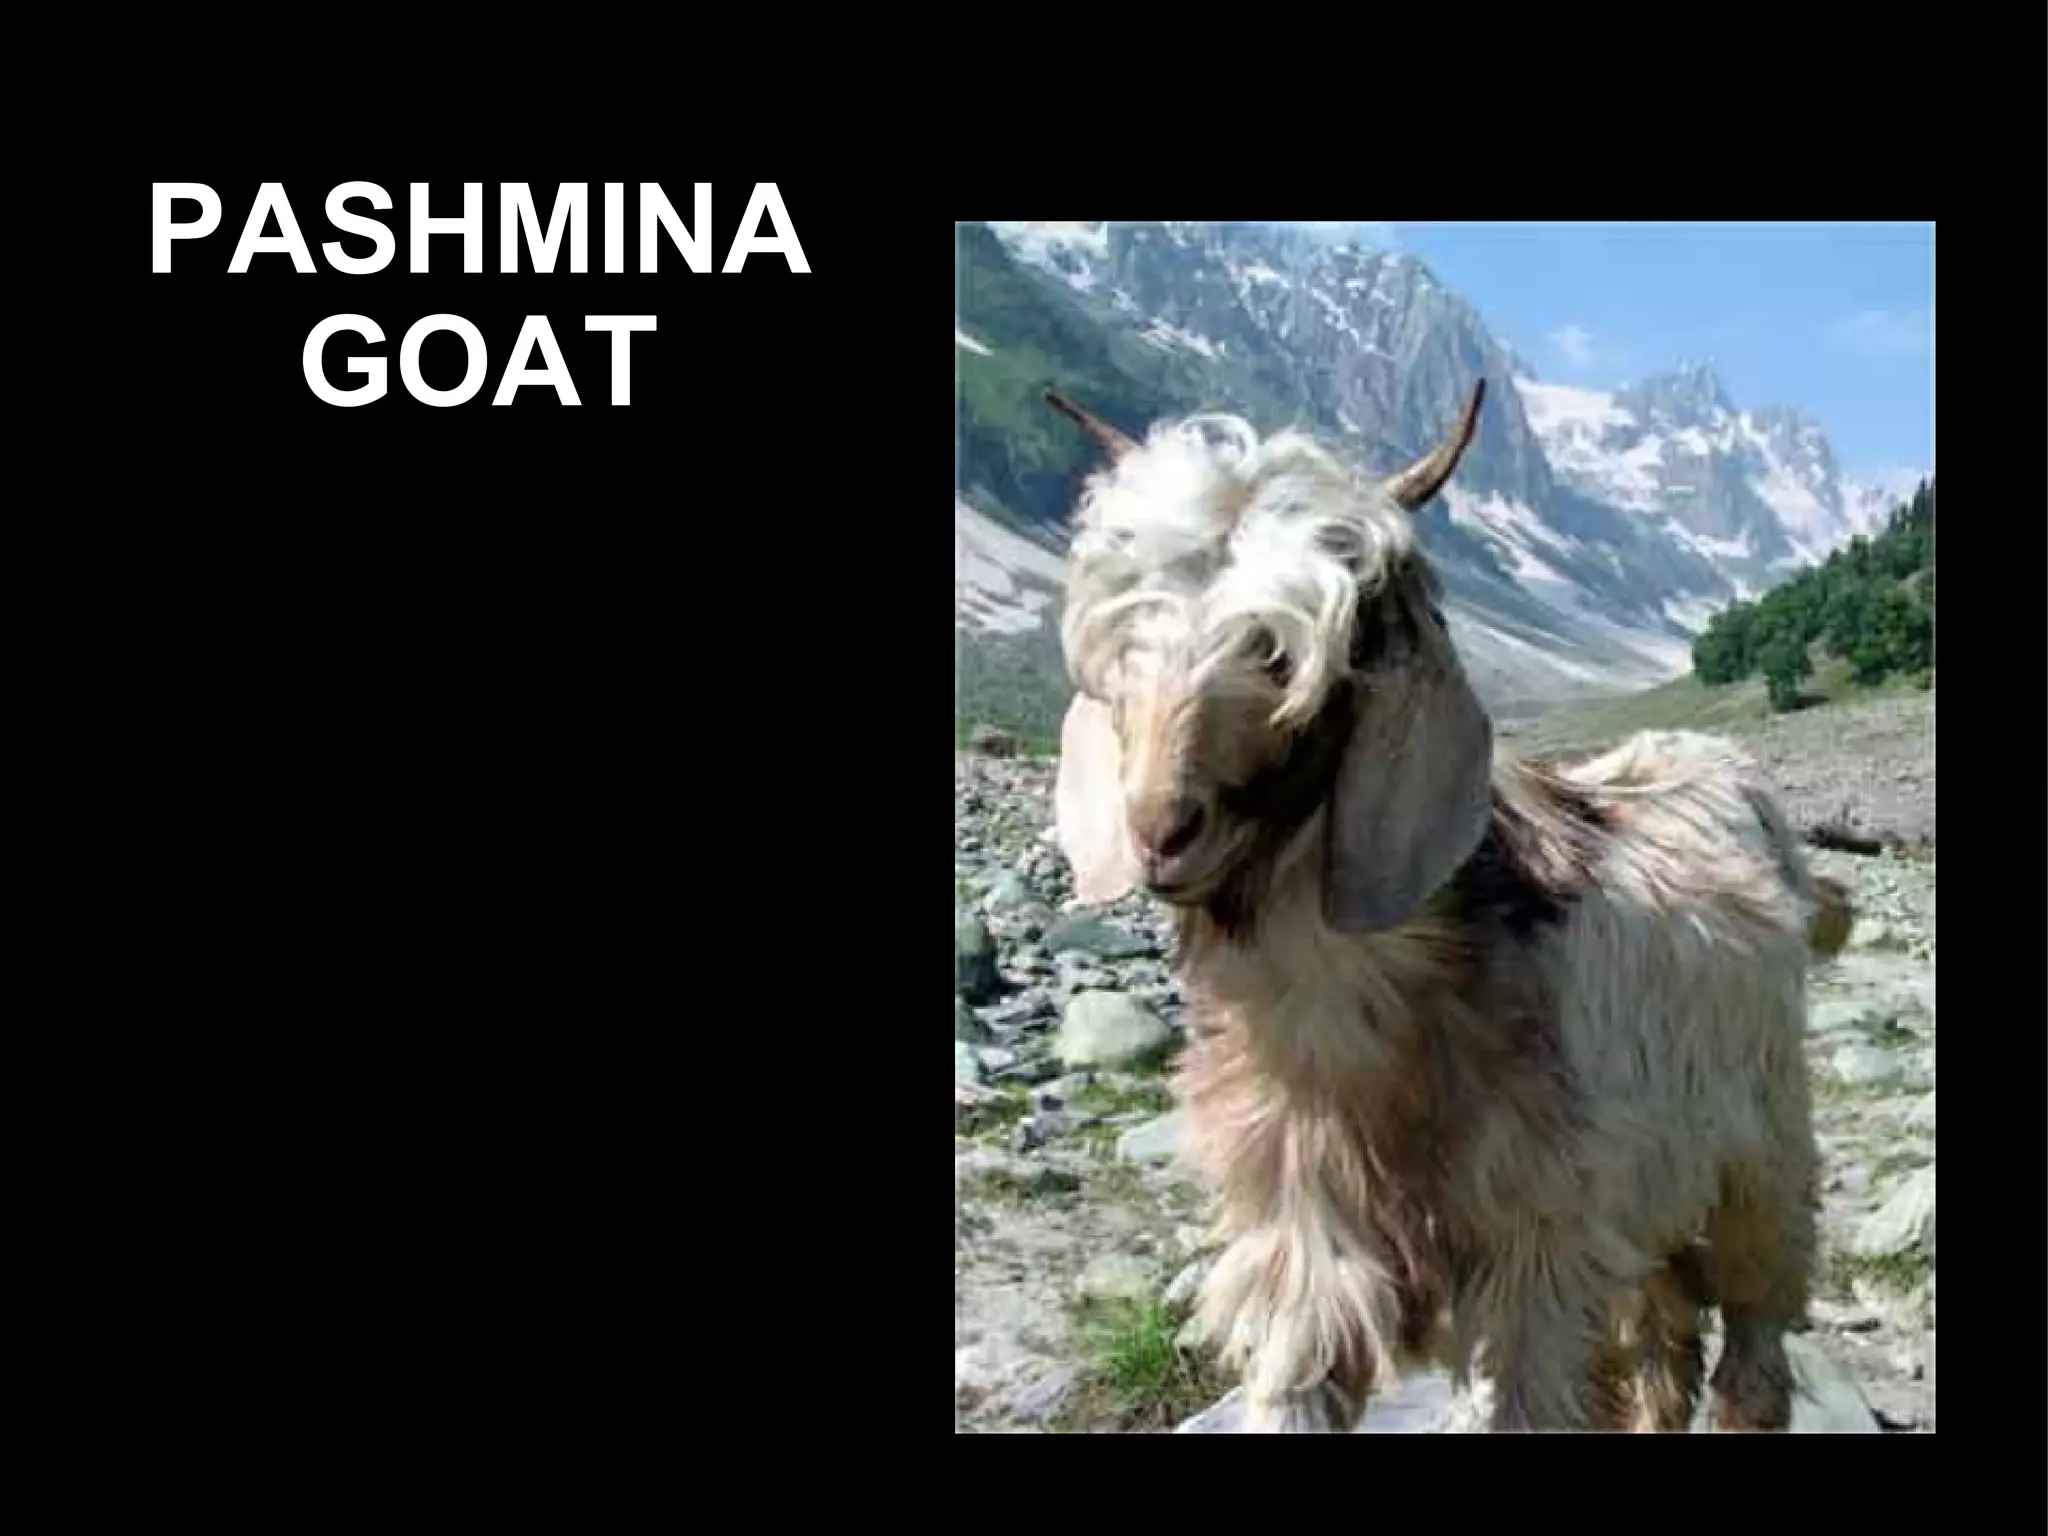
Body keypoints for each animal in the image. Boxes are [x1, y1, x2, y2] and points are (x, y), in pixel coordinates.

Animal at [1043, 382, 1843, 1432]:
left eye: (1289, 654)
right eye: (1123, 638)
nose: (1159, 832)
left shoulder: (1541, 1252)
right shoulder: (1304, 1252)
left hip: (1762, 1159)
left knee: (1752, 1337)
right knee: (1662, 1342)